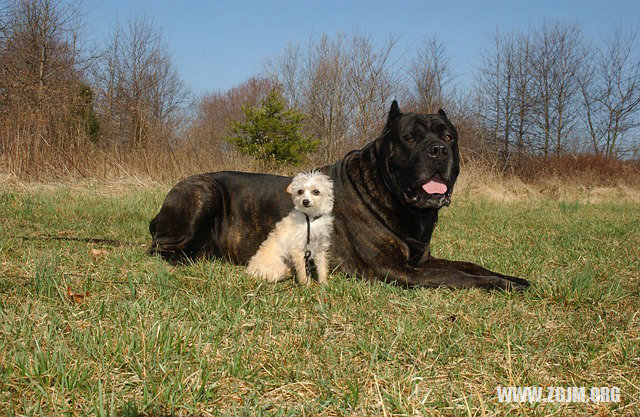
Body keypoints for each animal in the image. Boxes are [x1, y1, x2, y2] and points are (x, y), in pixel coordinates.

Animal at [149, 101, 528, 290]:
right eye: (409, 138)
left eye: (449, 137)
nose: (437, 150)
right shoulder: (394, 269)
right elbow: (459, 278)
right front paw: (501, 285)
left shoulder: (420, 261)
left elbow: (468, 265)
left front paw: (513, 278)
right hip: (203, 191)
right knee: (159, 249)